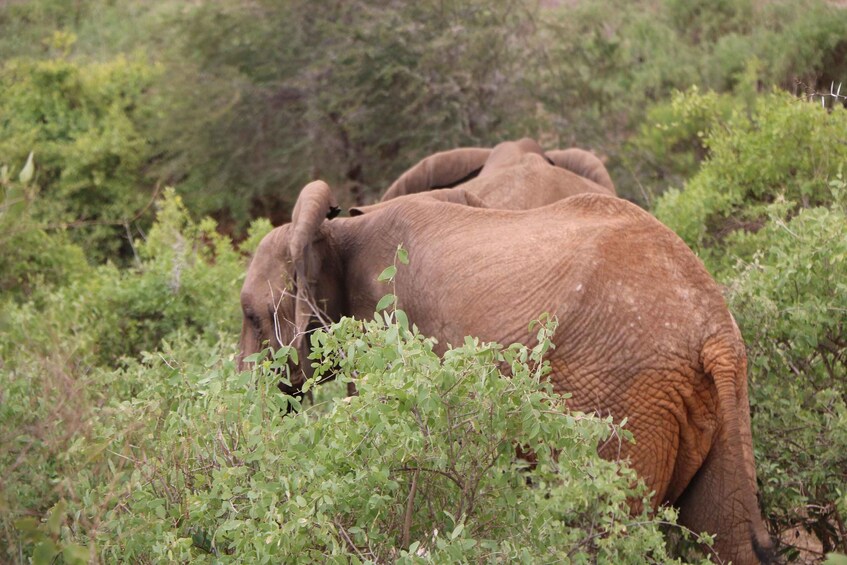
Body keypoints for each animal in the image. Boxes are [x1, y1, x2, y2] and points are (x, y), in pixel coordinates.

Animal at [239, 181, 773, 564]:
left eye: (251, 316)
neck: (340, 231)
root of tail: (713, 330)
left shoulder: (387, 325)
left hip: (621, 400)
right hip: (719, 405)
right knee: (727, 536)